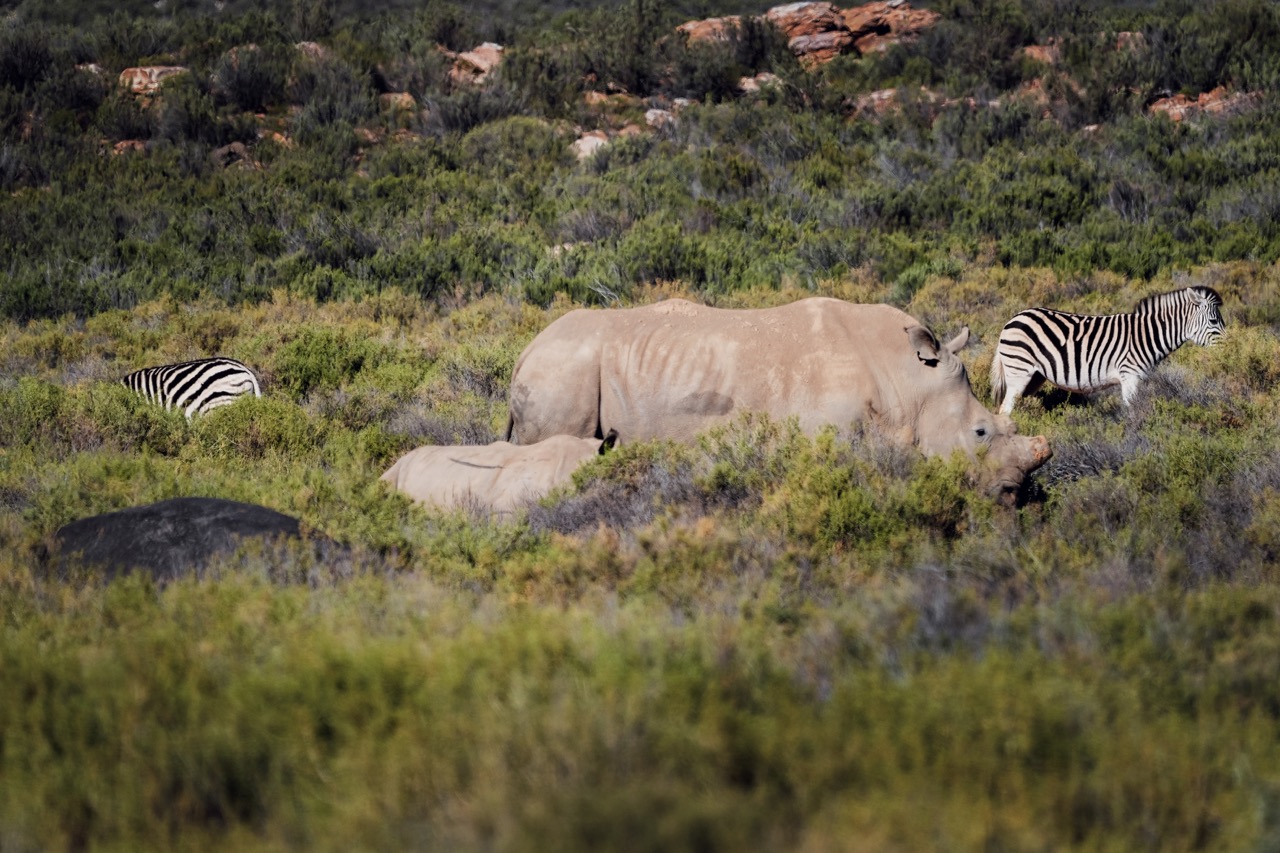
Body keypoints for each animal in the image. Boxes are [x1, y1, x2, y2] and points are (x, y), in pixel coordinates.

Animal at [990, 285, 1224, 414]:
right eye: (1213, 321)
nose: (1228, 349)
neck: (1148, 334)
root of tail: (1014, 318)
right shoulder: (1130, 376)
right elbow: (1130, 410)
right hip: (1019, 371)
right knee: (1006, 409)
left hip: (1035, 376)